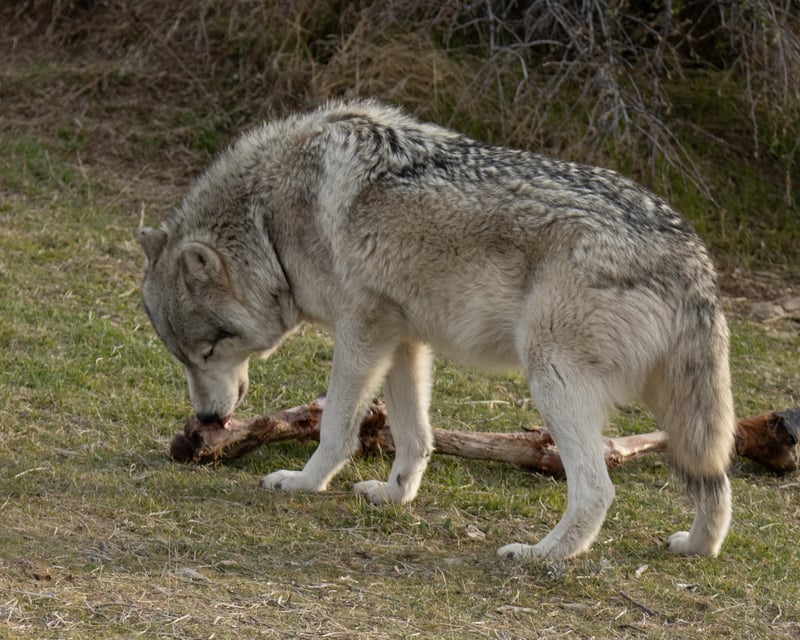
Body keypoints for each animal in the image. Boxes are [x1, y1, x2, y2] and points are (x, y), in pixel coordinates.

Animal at [139, 98, 734, 561]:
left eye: (211, 348)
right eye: (183, 357)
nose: (207, 419)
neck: (270, 221)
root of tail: (692, 256)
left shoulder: (360, 333)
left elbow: (335, 427)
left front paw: (305, 483)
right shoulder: (402, 340)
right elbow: (415, 437)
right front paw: (395, 496)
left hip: (552, 381)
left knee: (596, 490)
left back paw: (540, 555)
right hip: (677, 415)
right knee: (717, 484)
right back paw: (695, 547)